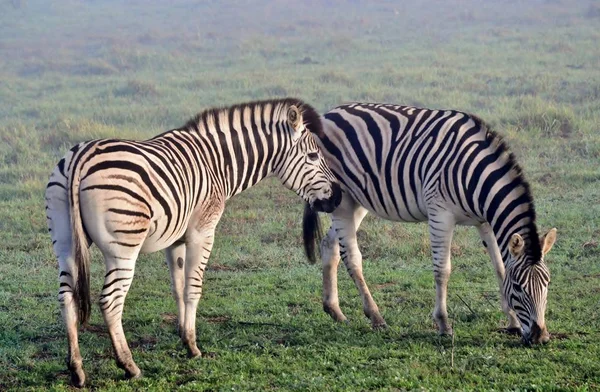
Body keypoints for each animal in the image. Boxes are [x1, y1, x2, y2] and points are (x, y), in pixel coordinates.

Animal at [47, 98, 342, 386]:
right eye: (313, 156)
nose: (338, 197)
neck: (218, 162)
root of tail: (81, 157)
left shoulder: (175, 239)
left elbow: (178, 287)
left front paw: (183, 337)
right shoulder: (203, 231)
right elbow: (193, 287)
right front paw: (193, 345)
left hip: (65, 241)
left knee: (66, 297)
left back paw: (76, 370)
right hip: (123, 247)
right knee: (110, 301)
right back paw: (129, 366)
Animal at [304, 102, 556, 344]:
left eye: (548, 283)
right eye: (519, 288)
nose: (540, 338)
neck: (476, 176)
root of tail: (329, 114)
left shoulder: (484, 222)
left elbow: (500, 268)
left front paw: (512, 322)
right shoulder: (440, 214)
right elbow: (442, 270)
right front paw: (444, 324)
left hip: (357, 201)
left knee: (330, 245)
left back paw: (334, 310)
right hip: (342, 200)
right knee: (351, 257)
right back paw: (375, 317)